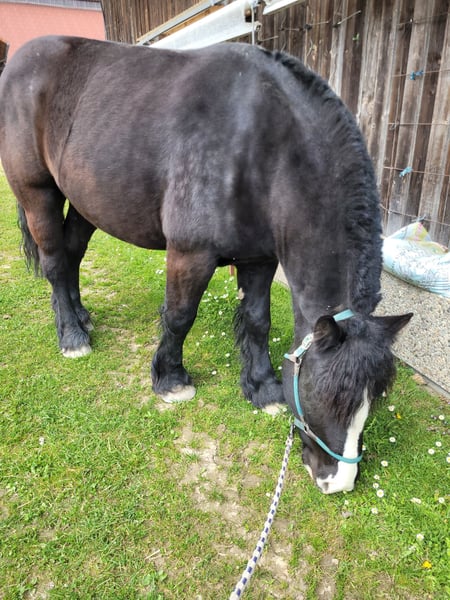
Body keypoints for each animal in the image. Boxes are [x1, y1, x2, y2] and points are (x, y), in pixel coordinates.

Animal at [0, 36, 412, 494]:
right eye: (329, 397)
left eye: (372, 400)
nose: (338, 482)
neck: (259, 145)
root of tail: (20, 57)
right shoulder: (190, 254)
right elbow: (180, 316)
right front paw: (171, 380)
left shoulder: (260, 258)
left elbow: (257, 320)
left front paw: (262, 388)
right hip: (38, 193)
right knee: (56, 265)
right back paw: (72, 336)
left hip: (85, 201)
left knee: (72, 259)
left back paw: (82, 317)